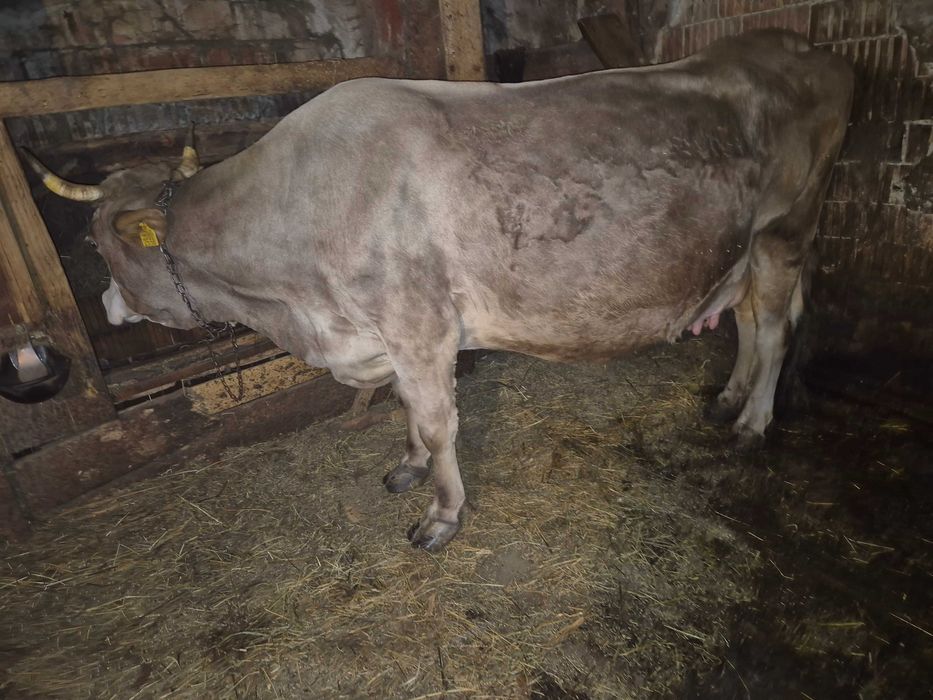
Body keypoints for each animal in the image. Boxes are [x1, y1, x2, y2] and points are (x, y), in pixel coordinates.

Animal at [27, 30, 853, 551]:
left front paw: (441, 515)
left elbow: (435, 422)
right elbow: (405, 413)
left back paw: (752, 423)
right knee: (744, 318)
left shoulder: (417, 326)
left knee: (774, 329)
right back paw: (725, 399)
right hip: (736, 250)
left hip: (783, 230)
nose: (105, 307)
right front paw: (409, 467)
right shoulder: (386, 337)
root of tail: (803, 49)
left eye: (97, 245)